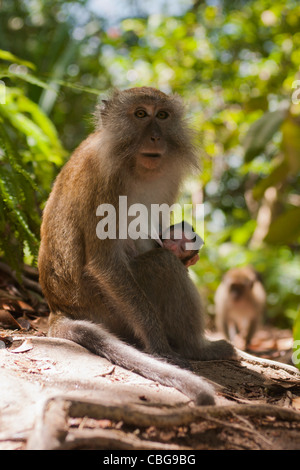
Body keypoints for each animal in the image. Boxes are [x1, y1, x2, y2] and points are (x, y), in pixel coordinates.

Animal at [38, 86, 234, 406]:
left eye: (162, 115)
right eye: (141, 114)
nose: (155, 137)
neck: (130, 163)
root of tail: (59, 308)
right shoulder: (103, 180)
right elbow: (105, 263)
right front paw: (159, 346)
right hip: (106, 308)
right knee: (163, 266)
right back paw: (196, 348)